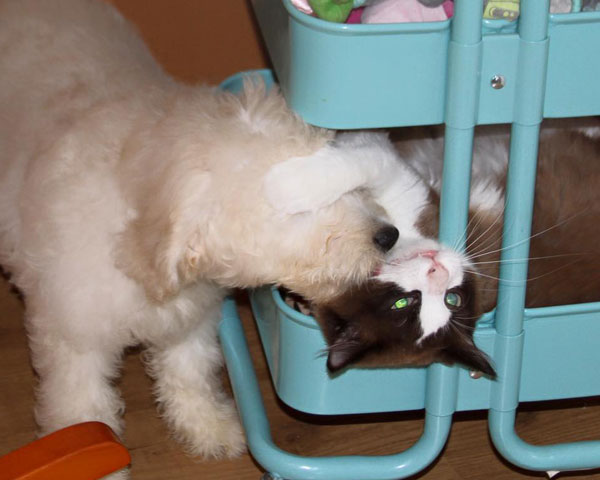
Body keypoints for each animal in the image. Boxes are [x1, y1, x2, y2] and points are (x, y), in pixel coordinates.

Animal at [0, 0, 398, 464]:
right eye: (303, 200)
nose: (388, 235)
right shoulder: (74, 335)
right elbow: (82, 408)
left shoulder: (192, 318)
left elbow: (189, 373)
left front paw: (210, 427)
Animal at [276, 120, 600, 376]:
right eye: (402, 303)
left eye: (451, 299)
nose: (437, 270)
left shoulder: (410, 189)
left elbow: (362, 161)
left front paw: (289, 185)